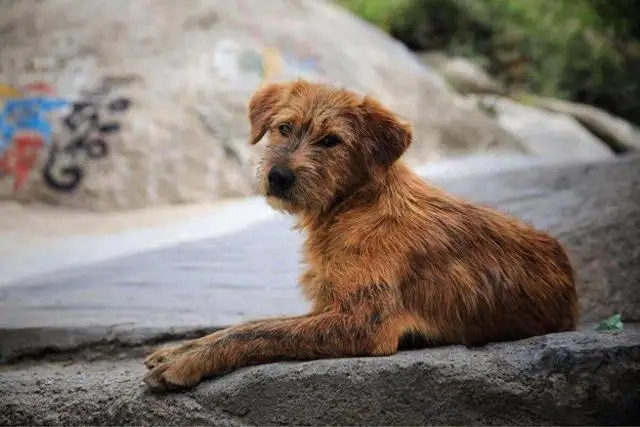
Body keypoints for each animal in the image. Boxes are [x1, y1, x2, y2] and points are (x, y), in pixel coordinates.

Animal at [141, 78, 580, 392]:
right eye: (284, 127)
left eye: (331, 140)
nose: (278, 176)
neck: (356, 206)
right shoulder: (327, 305)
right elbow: (253, 324)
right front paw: (183, 348)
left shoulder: (362, 320)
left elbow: (261, 331)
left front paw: (186, 361)